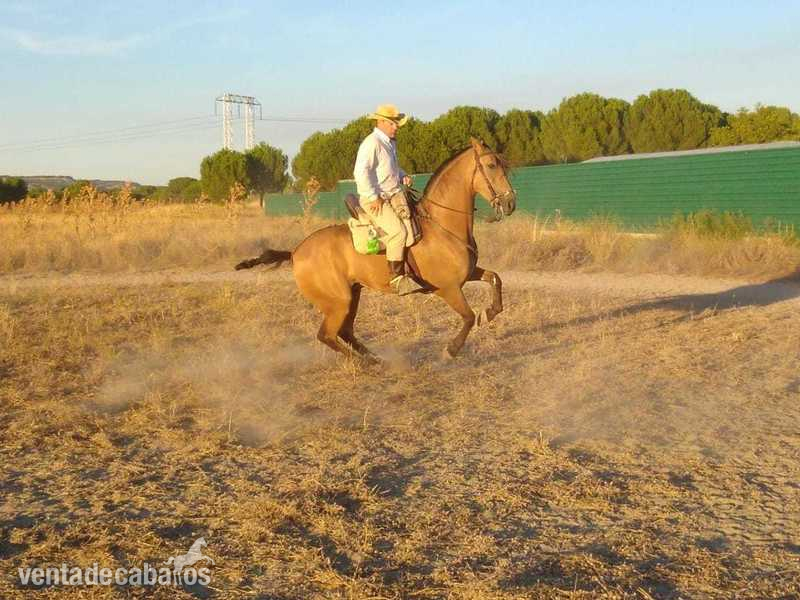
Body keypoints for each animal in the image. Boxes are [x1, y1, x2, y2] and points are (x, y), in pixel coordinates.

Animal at [235, 137, 516, 361]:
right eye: (492, 165)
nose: (511, 203)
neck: (441, 226)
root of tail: (295, 252)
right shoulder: (447, 289)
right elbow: (468, 317)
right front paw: (451, 349)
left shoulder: (468, 274)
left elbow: (496, 279)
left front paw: (490, 313)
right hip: (339, 302)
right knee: (327, 335)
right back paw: (365, 363)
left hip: (353, 294)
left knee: (345, 332)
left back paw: (374, 358)